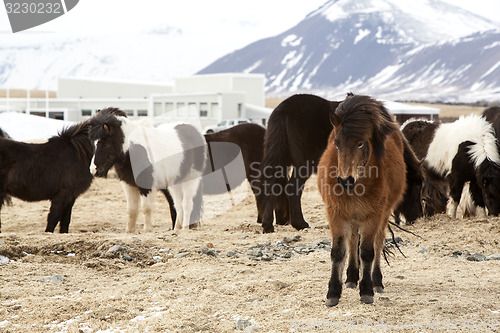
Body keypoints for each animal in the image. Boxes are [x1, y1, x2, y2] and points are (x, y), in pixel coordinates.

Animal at [320, 92, 406, 304]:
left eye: (360, 143)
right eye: (336, 143)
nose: (345, 180)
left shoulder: (372, 217)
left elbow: (367, 252)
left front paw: (367, 290)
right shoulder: (337, 215)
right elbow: (338, 252)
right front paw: (333, 292)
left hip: (382, 216)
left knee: (378, 242)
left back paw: (377, 281)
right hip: (352, 218)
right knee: (352, 242)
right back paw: (351, 277)